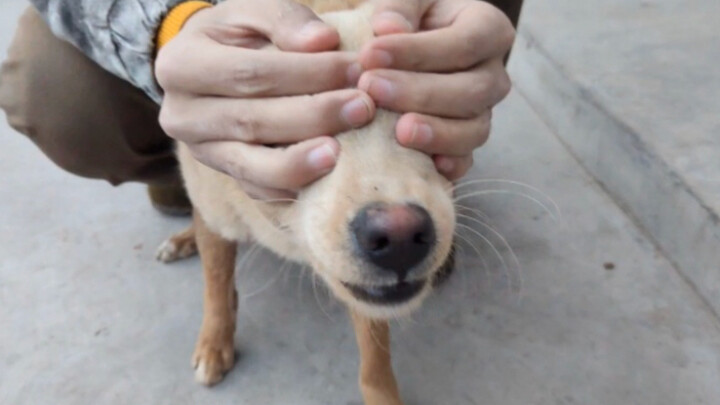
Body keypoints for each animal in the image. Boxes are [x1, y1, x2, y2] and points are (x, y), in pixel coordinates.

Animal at [159, 1, 456, 402]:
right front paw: (214, 342)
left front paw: (381, 393)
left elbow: (374, 352)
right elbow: (216, 284)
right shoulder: (216, 213)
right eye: (287, 132)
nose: (400, 237)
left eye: (433, 117)